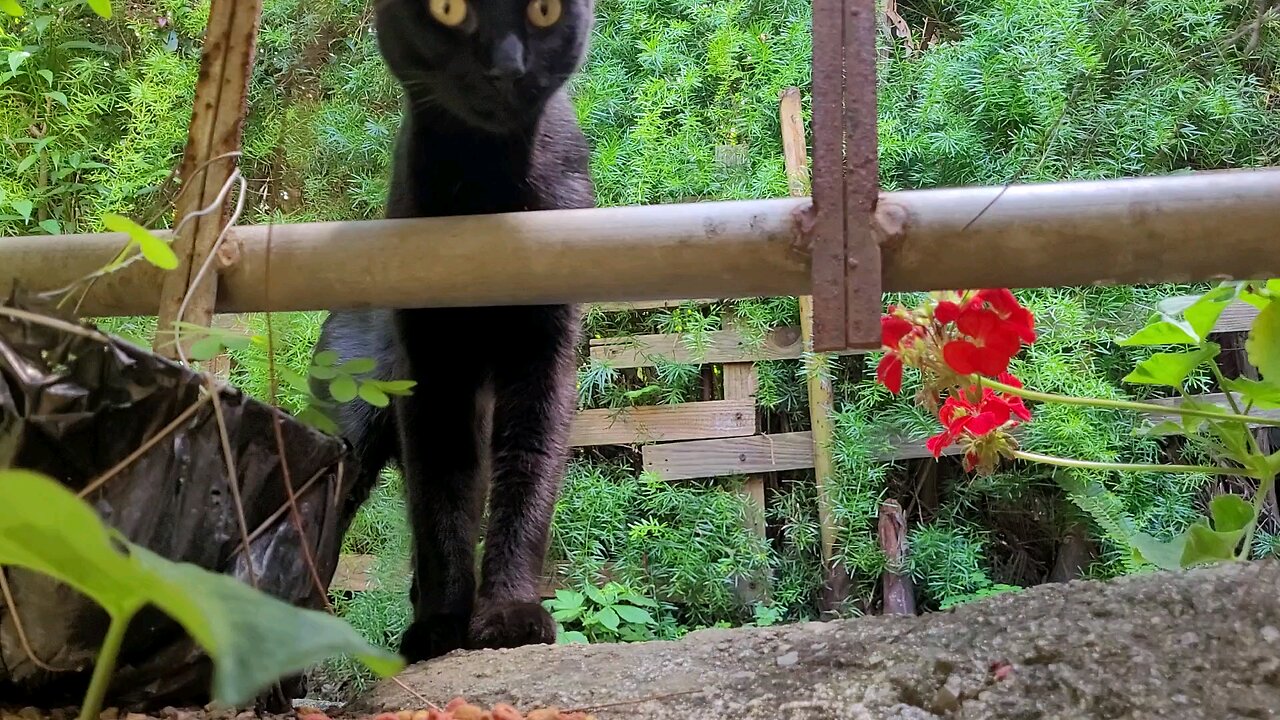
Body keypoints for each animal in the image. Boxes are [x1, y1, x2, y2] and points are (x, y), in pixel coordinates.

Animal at [309, 0, 593, 661]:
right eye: (447, 10)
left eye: (544, 12)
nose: (505, 65)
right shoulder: (432, 372)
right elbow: (443, 498)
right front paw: (442, 626)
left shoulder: (543, 360)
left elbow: (527, 481)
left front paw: (510, 616)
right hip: (345, 446)